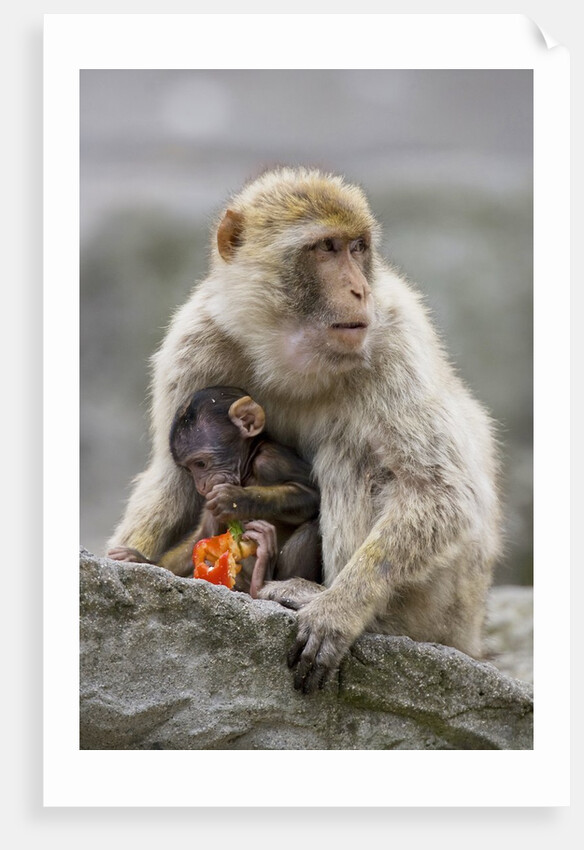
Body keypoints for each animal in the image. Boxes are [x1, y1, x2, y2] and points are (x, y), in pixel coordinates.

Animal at [109, 386, 322, 599]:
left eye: (200, 464)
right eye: (188, 469)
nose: (201, 486)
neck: (247, 468)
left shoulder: (271, 461)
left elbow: (312, 495)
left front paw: (235, 499)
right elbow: (204, 535)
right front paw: (143, 561)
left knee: (311, 528)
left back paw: (261, 578)